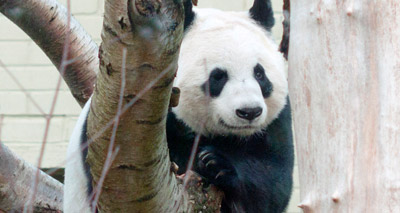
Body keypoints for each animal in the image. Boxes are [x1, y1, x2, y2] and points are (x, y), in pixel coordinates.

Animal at [63, 0, 294, 213]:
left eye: (260, 73)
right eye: (218, 76)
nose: (249, 112)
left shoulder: (276, 124)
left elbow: (272, 180)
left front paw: (216, 165)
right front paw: (208, 161)